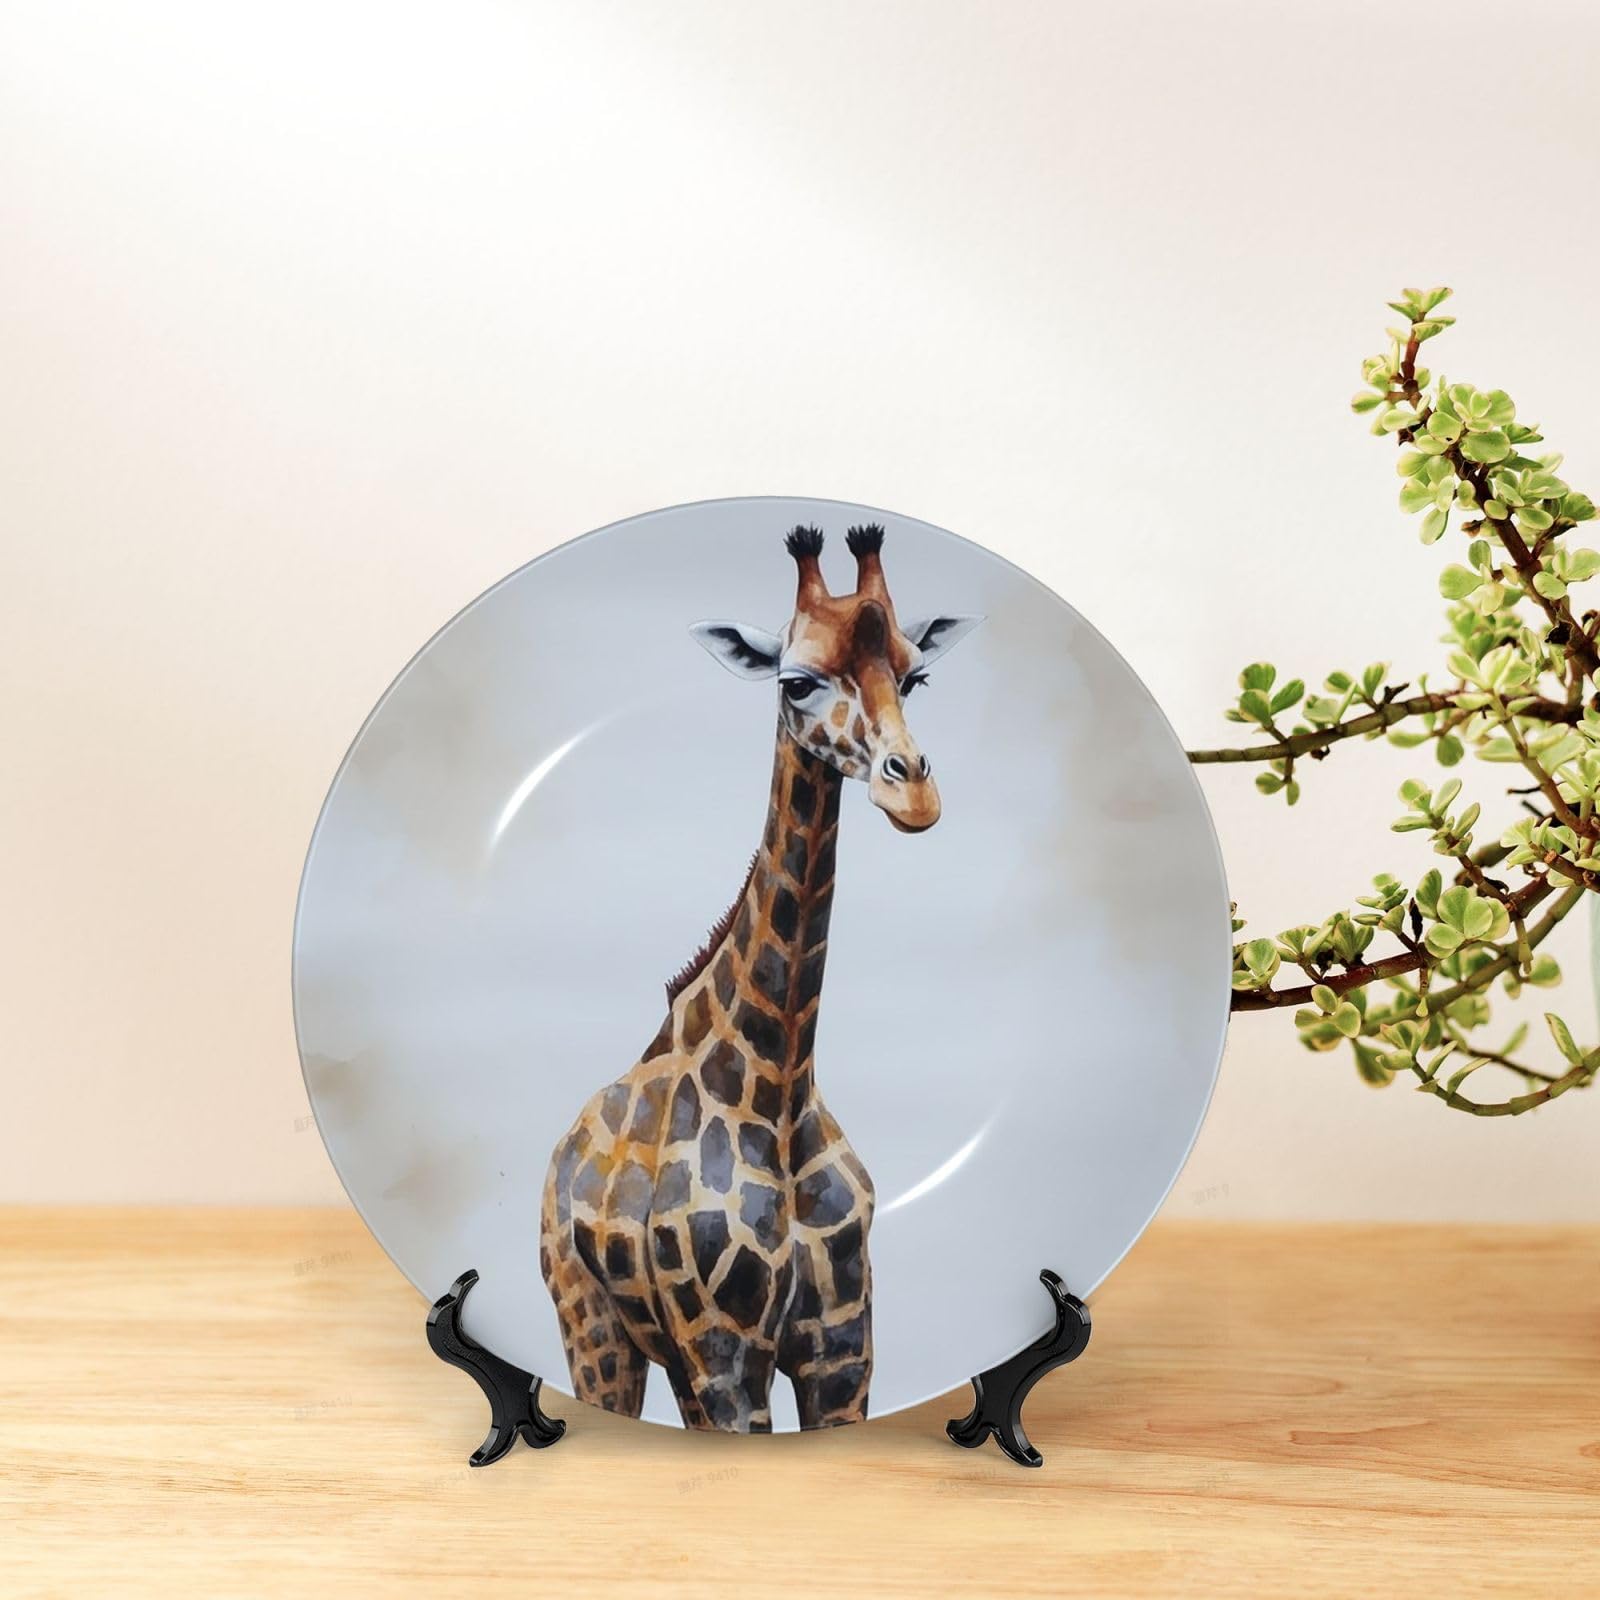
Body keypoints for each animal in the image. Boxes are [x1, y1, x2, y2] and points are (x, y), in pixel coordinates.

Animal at [538, 522, 982, 1431]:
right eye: (797, 681)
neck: (780, 1087)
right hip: (592, 1322)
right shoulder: (725, 1351)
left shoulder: (841, 1348)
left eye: (914, 674)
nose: (915, 795)